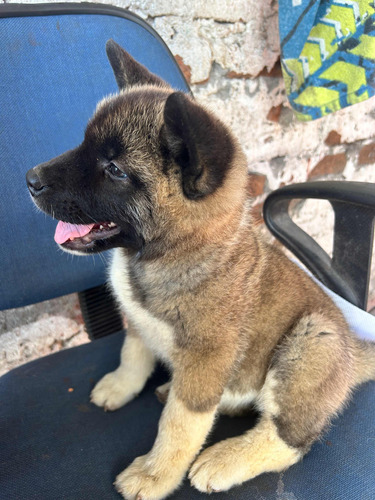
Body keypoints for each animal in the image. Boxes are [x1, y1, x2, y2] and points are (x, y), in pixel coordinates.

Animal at [26, 41, 375, 498]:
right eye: (84, 144)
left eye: (115, 170)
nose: (30, 179)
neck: (164, 257)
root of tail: (353, 352)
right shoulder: (139, 325)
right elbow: (133, 352)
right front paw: (122, 384)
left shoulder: (207, 359)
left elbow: (181, 423)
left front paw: (156, 473)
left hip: (311, 343)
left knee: (290, 439)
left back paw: (228, 458)